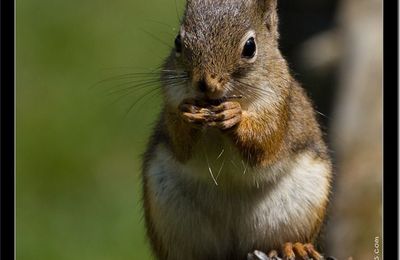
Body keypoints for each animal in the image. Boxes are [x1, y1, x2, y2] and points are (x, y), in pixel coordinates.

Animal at [142, 0, 332, 258]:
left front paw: (235, 116)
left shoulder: (279, 107)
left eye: (250, 47)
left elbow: (265, 144)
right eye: (178, 42)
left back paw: (295, 246)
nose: (205, 83)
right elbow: (180, 145)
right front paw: (188, 113)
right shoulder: (171, 100)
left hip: (301, 206)